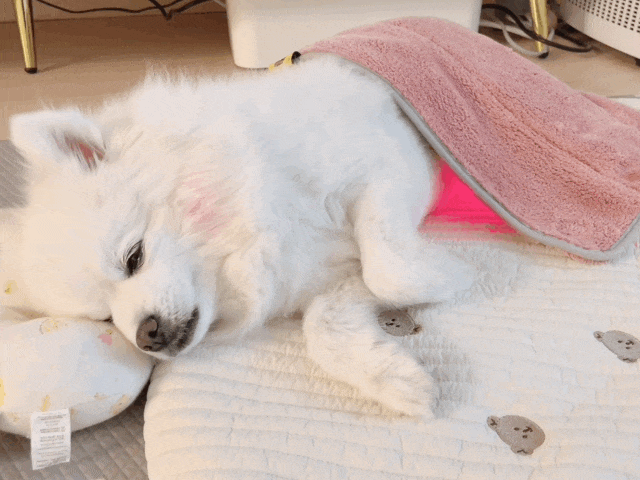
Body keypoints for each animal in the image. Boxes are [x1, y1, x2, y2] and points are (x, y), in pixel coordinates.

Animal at [2, 56, 481, 417]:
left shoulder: (392, 164)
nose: (146, 335)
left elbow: (389, 271)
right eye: (105, 319)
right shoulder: (322, 276)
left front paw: (451, 274)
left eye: (133, 257)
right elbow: (326, 328)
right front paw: (396, 378)